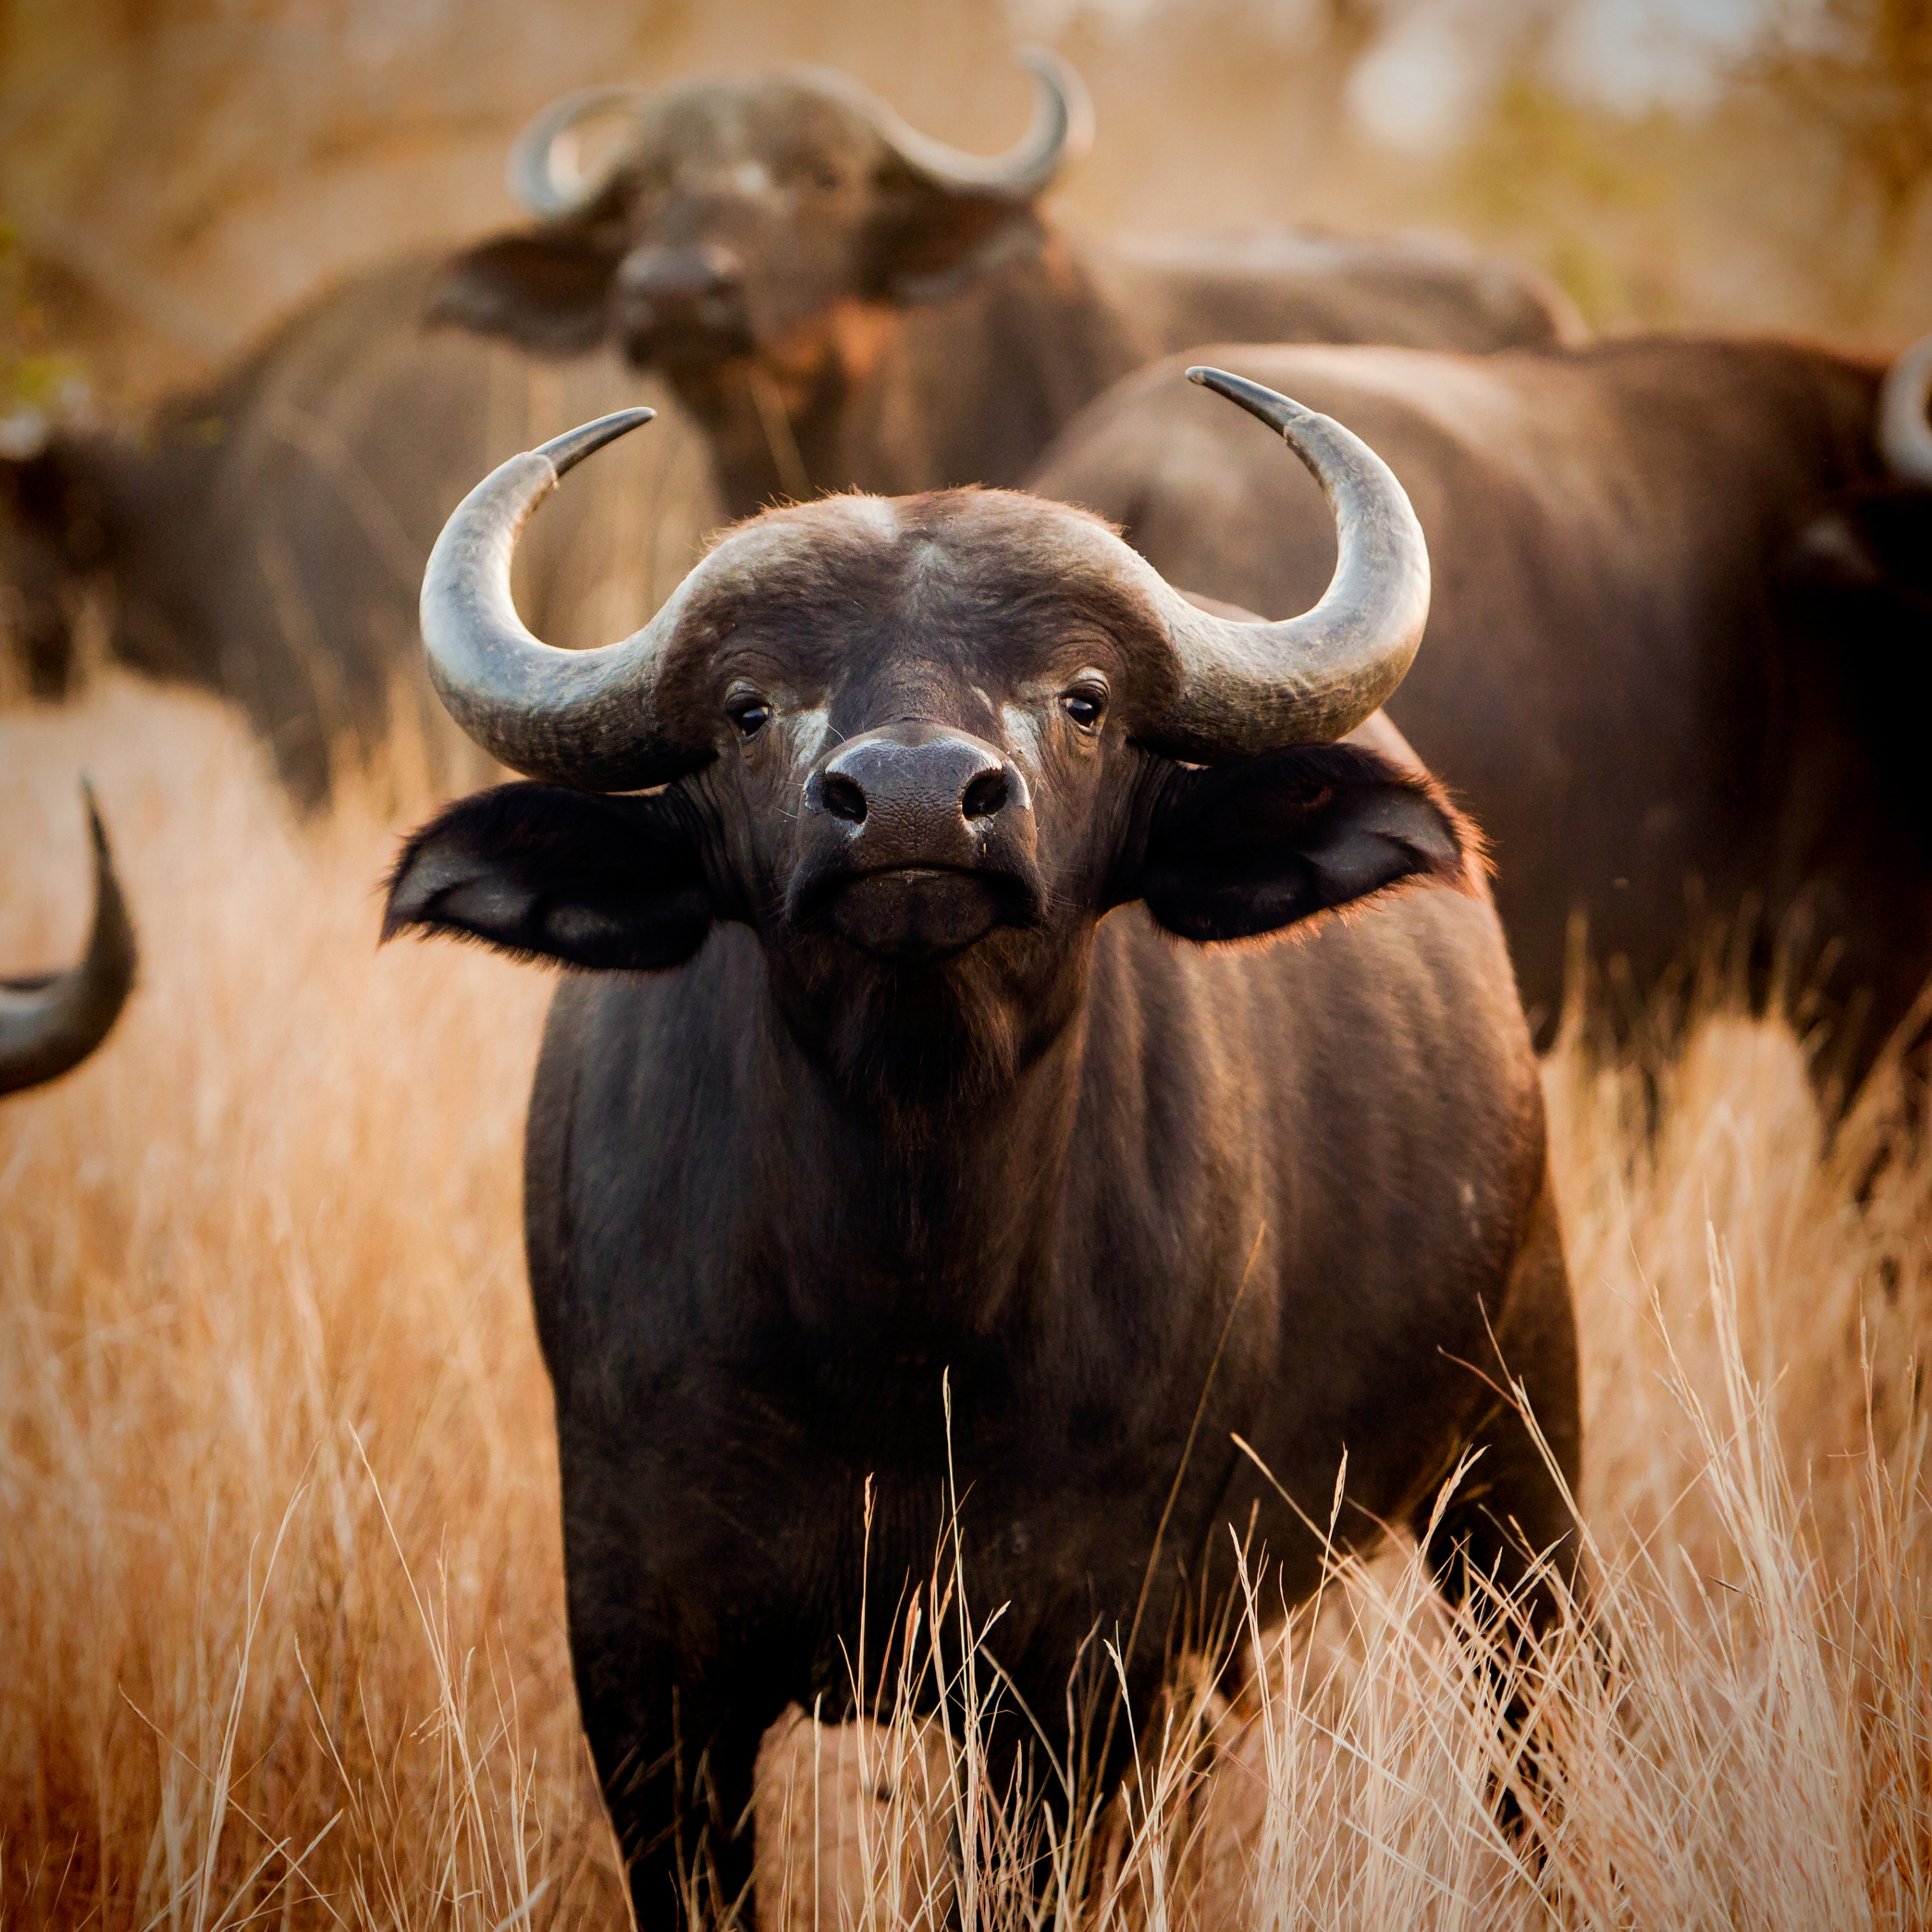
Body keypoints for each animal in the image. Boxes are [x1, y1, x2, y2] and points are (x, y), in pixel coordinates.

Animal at [384, 372, 1576, 1916]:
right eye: (747, 707)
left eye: (1084, 700)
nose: (909, 801)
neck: (900, 1311)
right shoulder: (645, 1659)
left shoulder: (1079, 1667)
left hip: (1519, 1447)